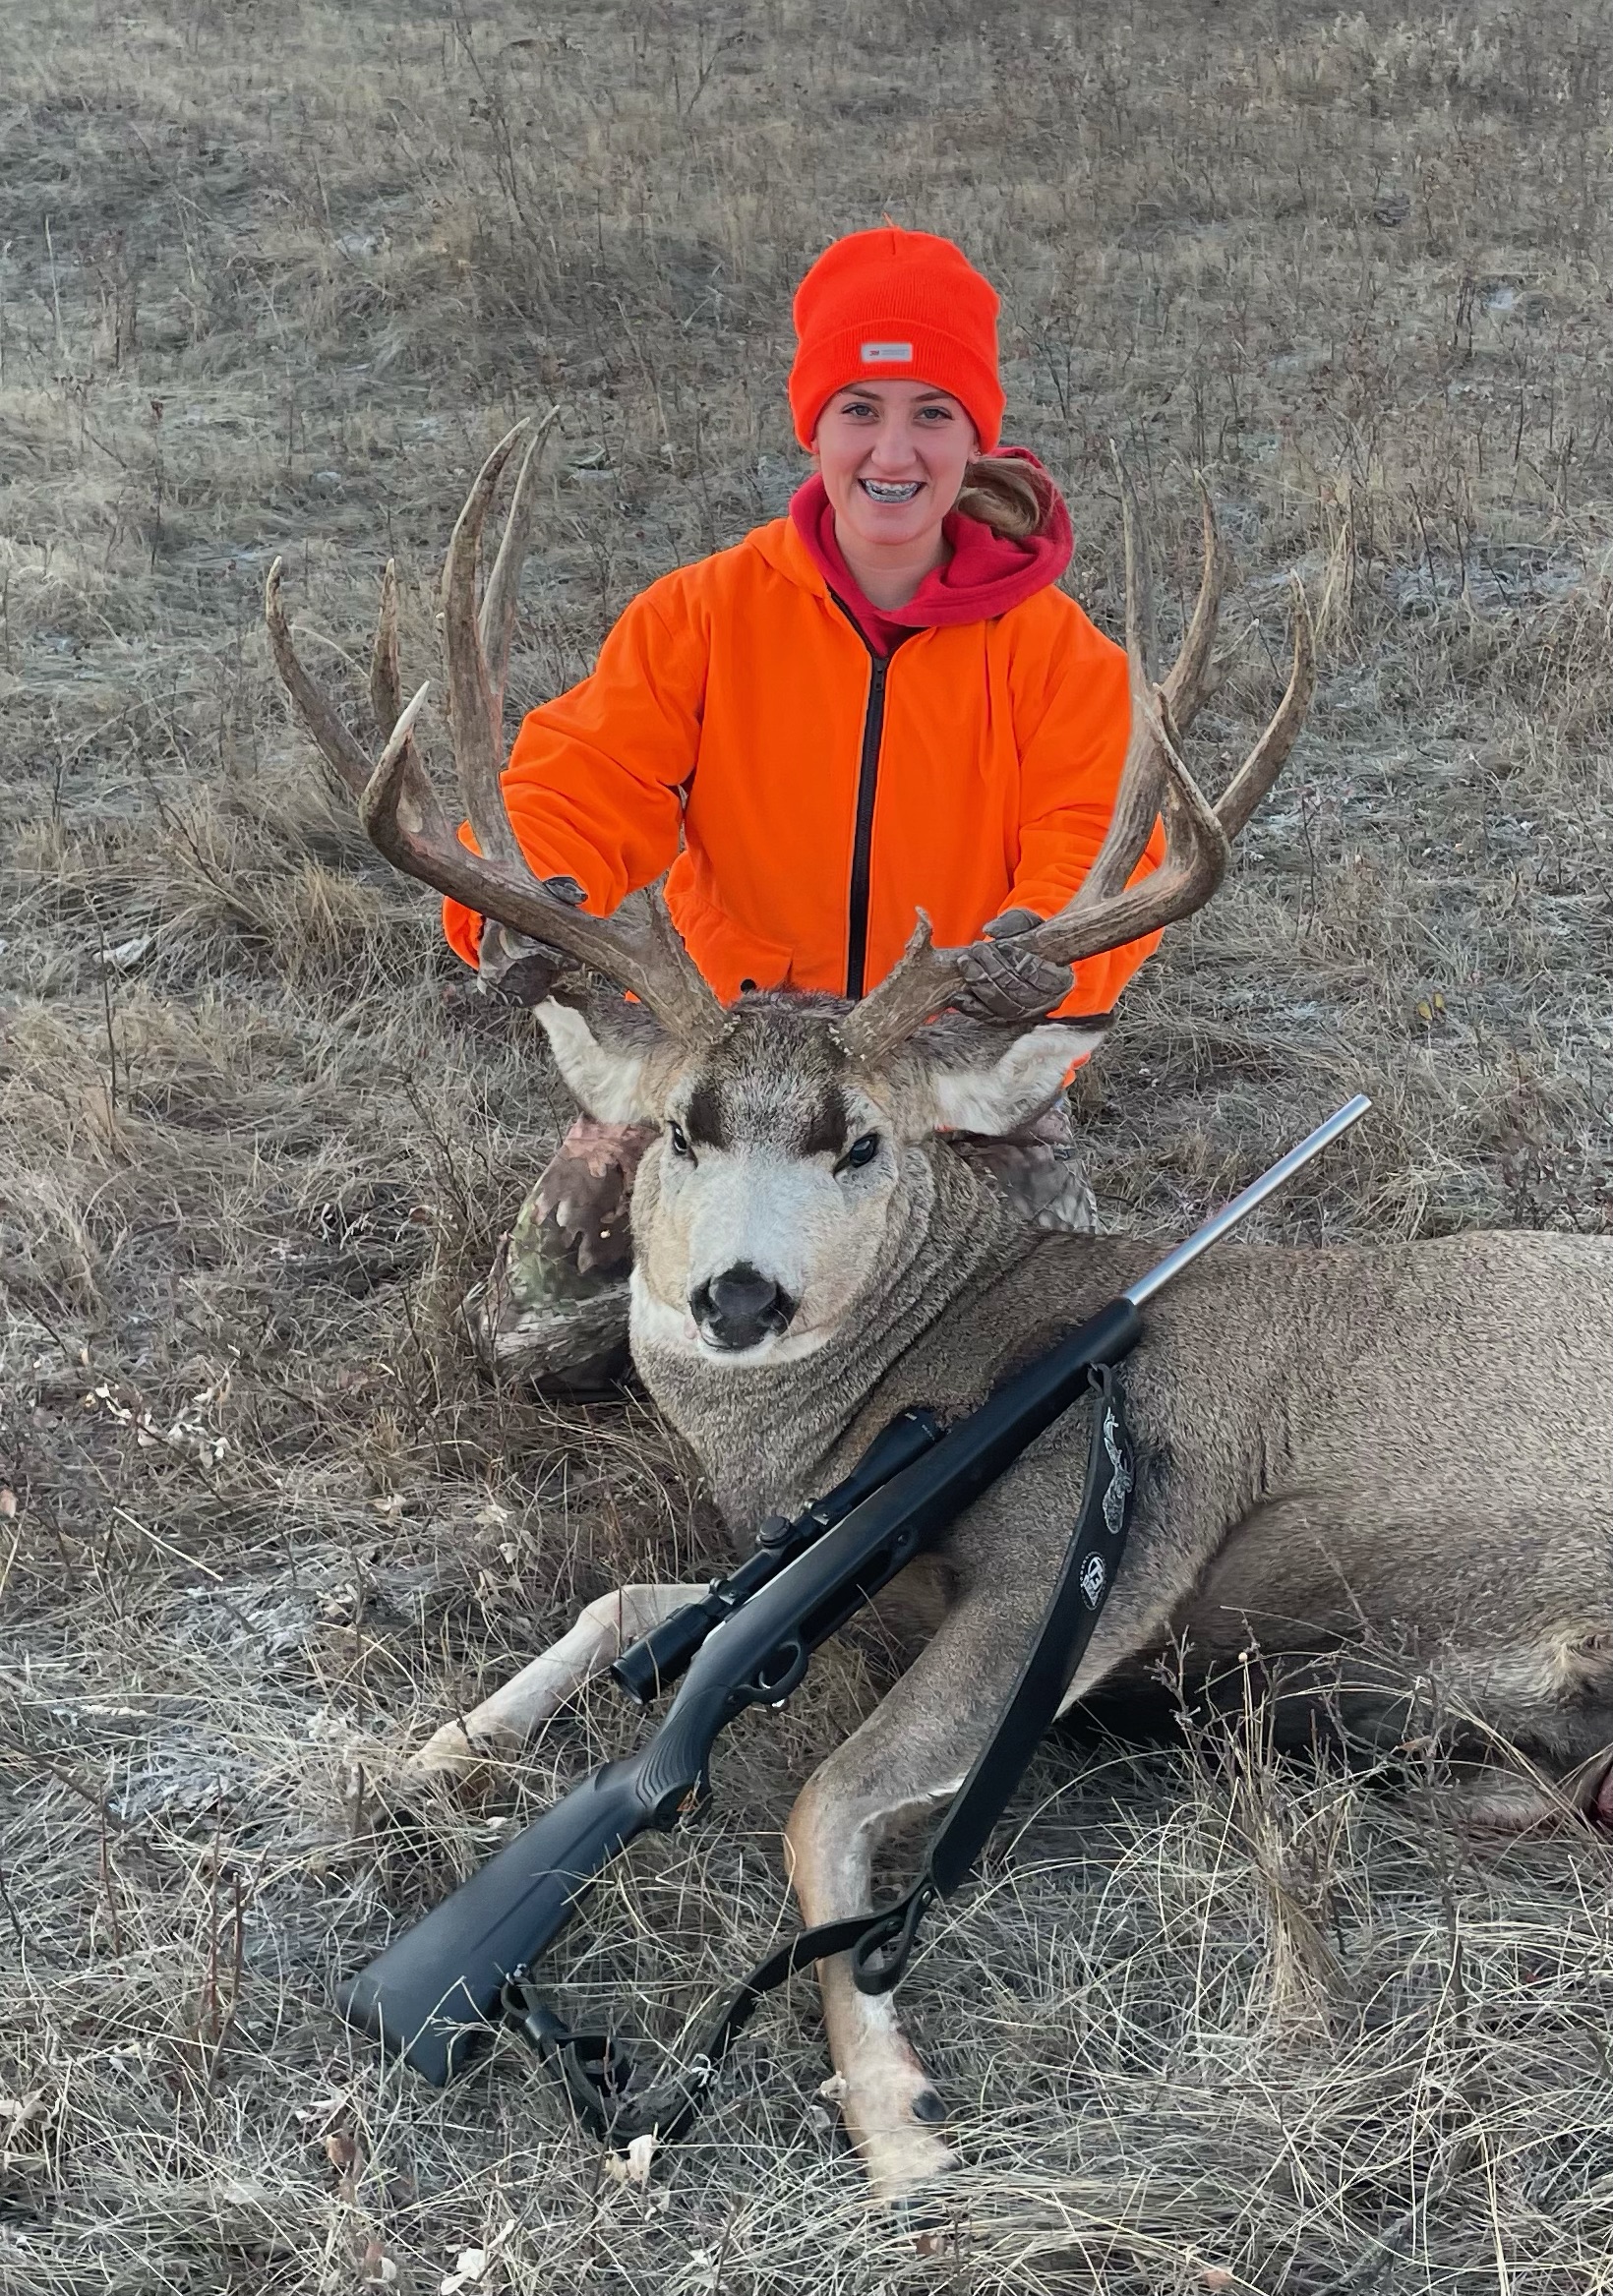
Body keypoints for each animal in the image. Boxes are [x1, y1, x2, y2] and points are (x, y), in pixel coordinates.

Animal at [267, 424, 1613, 2205]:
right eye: (682, 1127)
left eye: (864, 1143)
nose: (738, 1294)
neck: (909, 1369)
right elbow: (627, 1610)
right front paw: (415, 1757)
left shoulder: (1089, 1553)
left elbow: (818, 1799)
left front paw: (897, 2123)